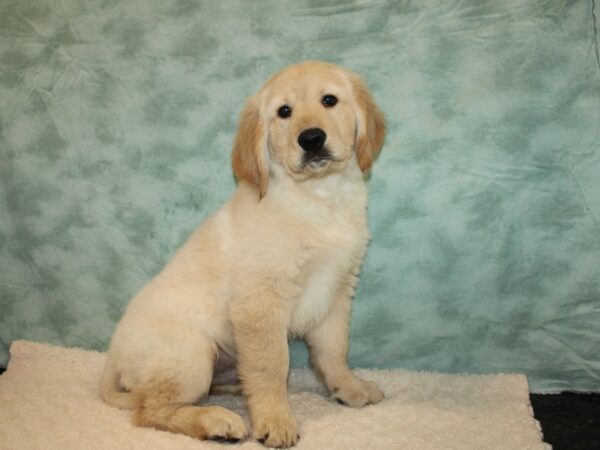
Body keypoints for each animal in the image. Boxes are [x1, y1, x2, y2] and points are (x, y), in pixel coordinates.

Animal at [99, 59, 384, 446]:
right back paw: (215, 420)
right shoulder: (259, 300)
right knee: (149, 409)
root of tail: (113, 356)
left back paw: (235, 390)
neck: (318, 197)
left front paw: (349, 388)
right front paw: (275, 419)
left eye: (329, 100)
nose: (311, 139)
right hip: (190, 351)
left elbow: (334, 350)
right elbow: (270, 365)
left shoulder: (336, 290)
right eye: (284, 112)